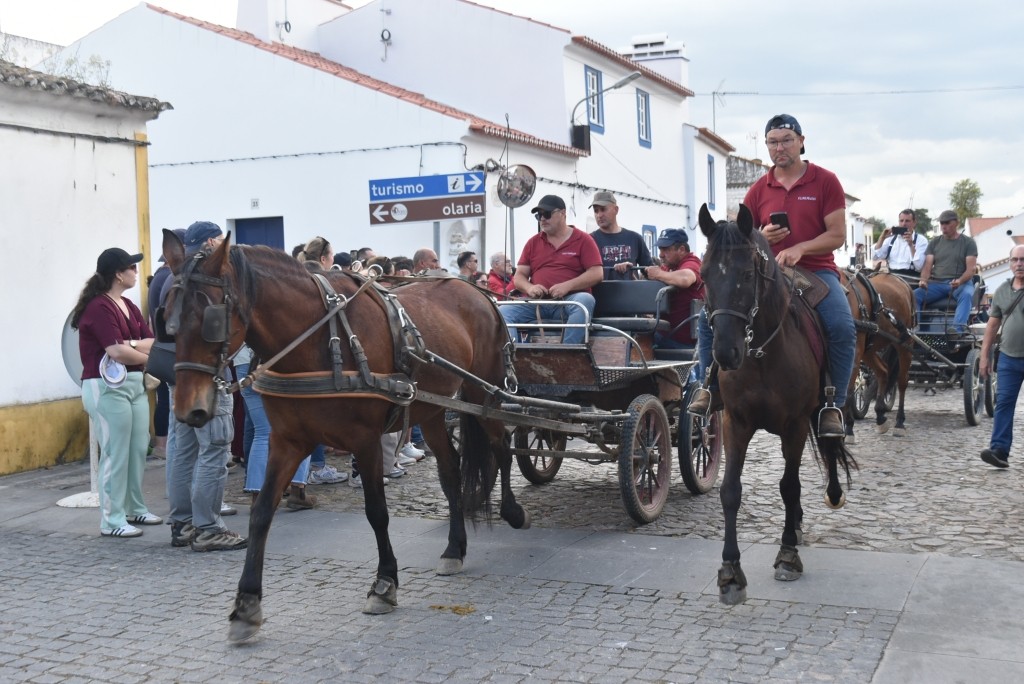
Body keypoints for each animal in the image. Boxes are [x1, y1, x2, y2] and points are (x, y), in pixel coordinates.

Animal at [160, 230, 529, 642]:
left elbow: (377, 512)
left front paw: (384, 585)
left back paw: (512, 512)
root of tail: (477, 293)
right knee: (450, 471)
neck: (319, 341)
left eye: (212, 319)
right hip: (431, 410)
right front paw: (247, 603)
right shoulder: (286, 442)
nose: (189, 410)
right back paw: (454, 549)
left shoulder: (365, 441)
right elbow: (261, 513)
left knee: (501, 447)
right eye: (168, 317)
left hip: (484, 394)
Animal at [697, 204, 856, 605]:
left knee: (829, 445)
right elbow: (730, 491)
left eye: (746, 273)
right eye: (704, 275)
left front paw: (787, 556)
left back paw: (829, 497)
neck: (760, 354)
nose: (725, 353)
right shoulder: (734, 423)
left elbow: (789, 486)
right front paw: (730, 572)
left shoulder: (794, 425)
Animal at [842, 270, 916, 440]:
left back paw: (899, 422)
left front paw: (848, 429)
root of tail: (901, 281)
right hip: (868, 350)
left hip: (905, 344)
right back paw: (880, 416)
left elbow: (847, 391)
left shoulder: (854, 352)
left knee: (902, 381)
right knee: (883, 372)